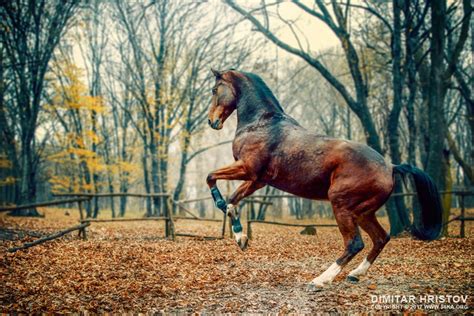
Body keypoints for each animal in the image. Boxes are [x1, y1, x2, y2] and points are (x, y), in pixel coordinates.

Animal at [206, 68, 442, 288]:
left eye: (215, 90)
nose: (211, 121)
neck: (261, 123)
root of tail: (390, 166)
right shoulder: (258, 180)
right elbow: (233, 200)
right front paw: (240, 238)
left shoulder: (247, 168)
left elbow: (211, 179)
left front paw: (225, 212)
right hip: (364, 213)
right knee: (381, 238)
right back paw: (355, 274)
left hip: (342, 205)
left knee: (355, 243)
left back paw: (320, 280)